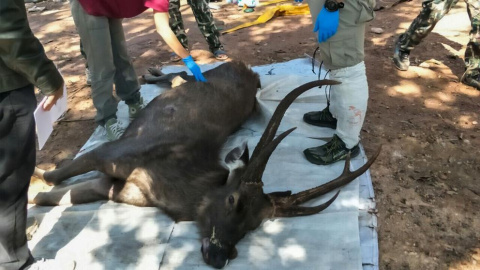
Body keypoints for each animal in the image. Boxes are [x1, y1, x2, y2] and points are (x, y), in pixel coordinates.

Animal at [31, 60, 380, 268]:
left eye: (255, 225)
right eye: (232, 199)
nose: (219, 255)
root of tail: (248, 70)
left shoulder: (118, 188)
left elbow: (54, 196)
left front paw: (35, 197)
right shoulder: (112, 152)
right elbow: (54, 178)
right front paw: (36, 174)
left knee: (179, 76)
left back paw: (152, 73)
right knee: (181, 73)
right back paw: (150, 72)